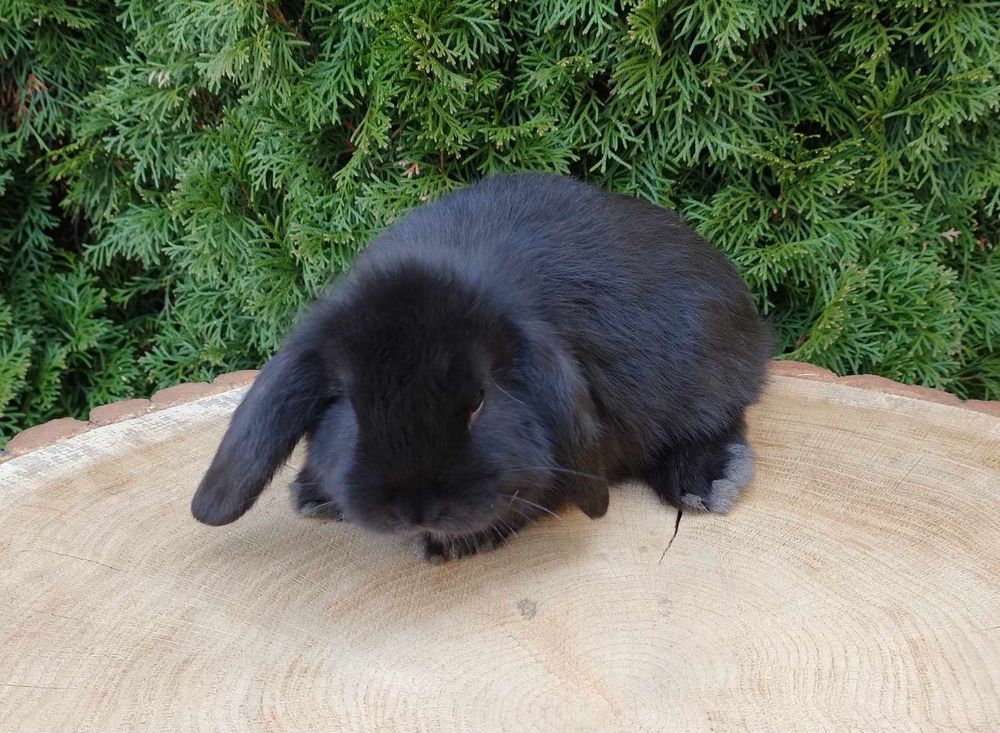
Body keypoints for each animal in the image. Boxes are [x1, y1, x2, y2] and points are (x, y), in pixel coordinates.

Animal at [193, 172, 772, 560]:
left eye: (477, 403)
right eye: (353, 407)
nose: (416, 508)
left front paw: (453, 545)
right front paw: (314, 494)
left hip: (703, 376)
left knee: (723, 419)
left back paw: (709, 480)